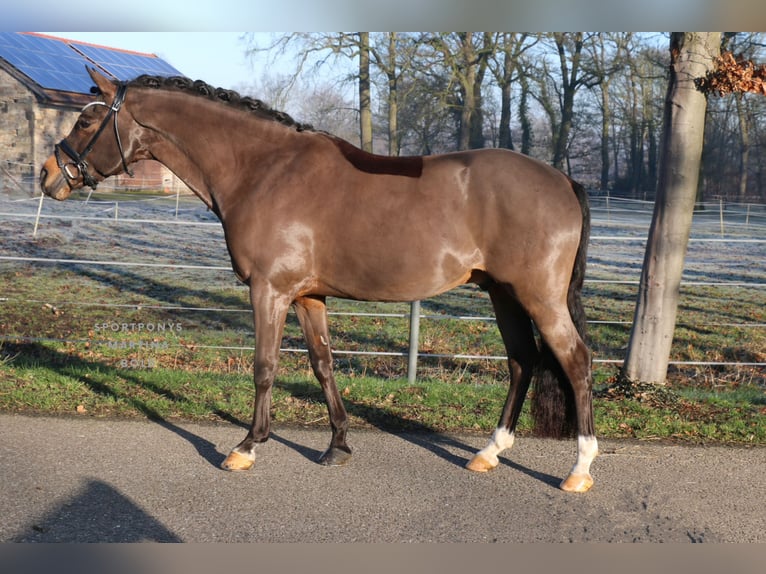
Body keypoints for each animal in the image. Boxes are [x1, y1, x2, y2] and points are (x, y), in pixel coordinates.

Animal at [39, 70, 596, 496]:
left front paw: (246, 447)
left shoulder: (269, 291)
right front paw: (338, 446)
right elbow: (323, 365)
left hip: (538, 297)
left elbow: (264, 368)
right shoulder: (308, 296)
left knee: (575, 361)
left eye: (86, 120)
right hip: (502, 293)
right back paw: (489, 452)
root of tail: (564, 180)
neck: (263, 170)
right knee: (522, 360)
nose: (48, 175)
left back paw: (579, 469)